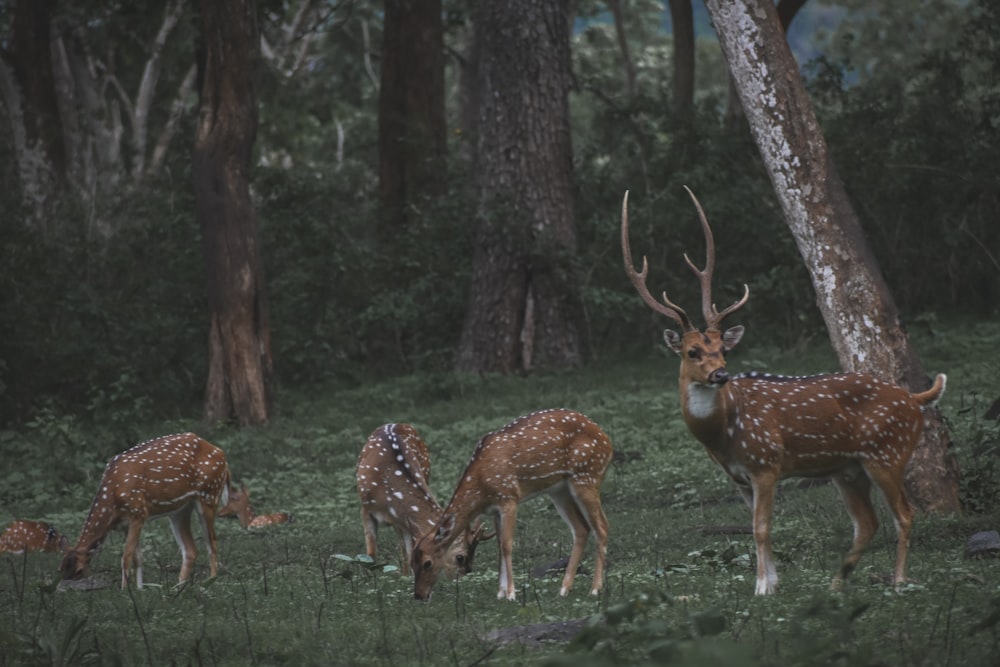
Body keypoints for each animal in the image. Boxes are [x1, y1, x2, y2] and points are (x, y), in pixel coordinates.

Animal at [61, 434, 244, 588]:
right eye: (60, 570)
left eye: (78, 570)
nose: (67, 586)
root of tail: (222, 454)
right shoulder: (126, 524)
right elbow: (138, 558)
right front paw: (139, 590)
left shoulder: (138, 512)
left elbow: (126, 557)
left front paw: (125, 591)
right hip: (180, 510)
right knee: (191, 550)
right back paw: (178, 587)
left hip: (209, 494)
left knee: (212, 542)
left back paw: (210, 582)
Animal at [358, 426, 490, 576]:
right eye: (460, 557)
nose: (466, 575)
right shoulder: (366, 509)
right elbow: (371, 555)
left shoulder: (402, 520)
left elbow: (407, 552)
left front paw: (407, 577)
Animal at [410, 410, 612, 604]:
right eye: (411, 563)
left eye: (427, 563)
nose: (419, 595)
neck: (481, 488)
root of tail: (607, 440)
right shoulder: (494, 510)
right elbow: (499, 547)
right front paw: (500, 593)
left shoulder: (508, 497)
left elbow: (507, 545)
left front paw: (511, 594)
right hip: (560, 491)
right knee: (581, 528)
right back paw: (563, 590)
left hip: (587, 476)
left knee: (602, 526)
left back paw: (595, 589)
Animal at [620, 188, 948, 596]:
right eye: (693, 351)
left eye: (723, 348)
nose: (721, 374)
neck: (723, 435)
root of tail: (914, 399)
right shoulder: (739, 478)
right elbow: (753, 528)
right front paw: (770, 581)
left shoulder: (766, 463)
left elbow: (761, 528)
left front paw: (763, 587)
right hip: (848, 468)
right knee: (867, 522)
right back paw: (836, 583)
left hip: (887, 452)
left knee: (904, 513)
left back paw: (899, 580)